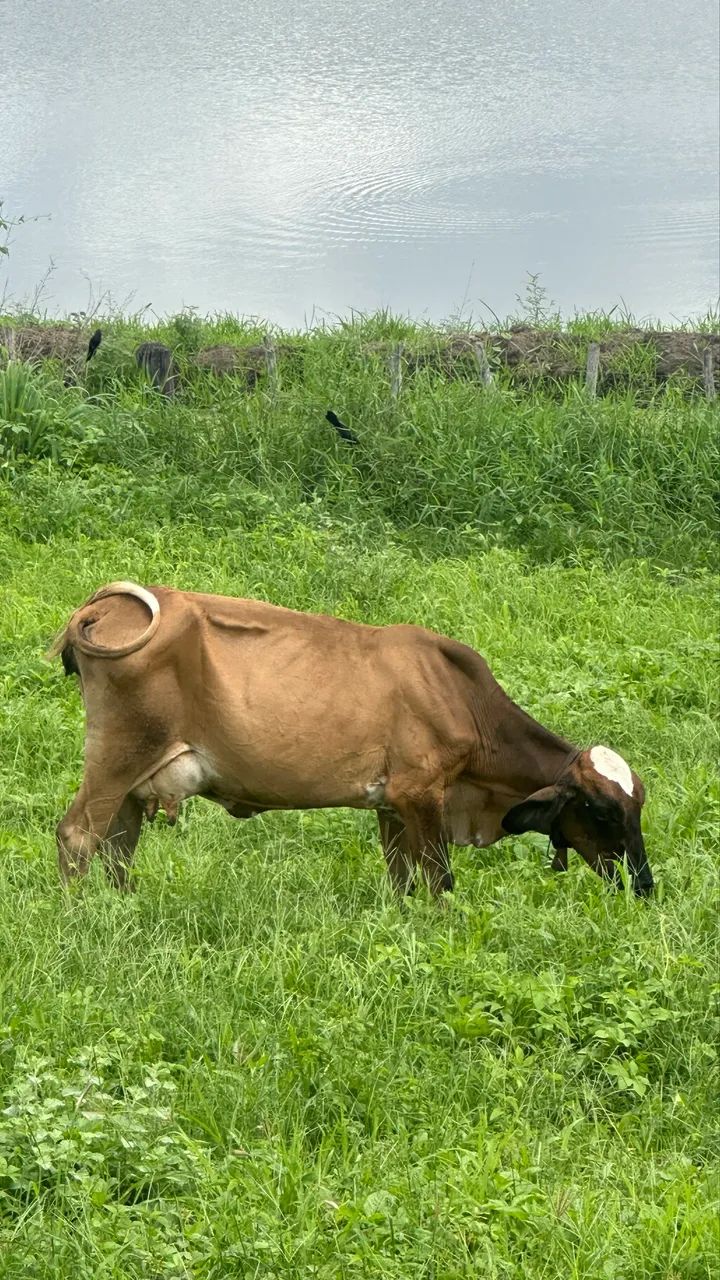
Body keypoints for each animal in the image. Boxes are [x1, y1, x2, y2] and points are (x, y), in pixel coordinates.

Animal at [47, 581, 654, 898]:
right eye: (602, 810)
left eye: (638, 805)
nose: (644, 884)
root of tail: (102, 605)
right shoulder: (421, 792)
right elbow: (440, 882)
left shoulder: (392, 806)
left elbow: (402, 882)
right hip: (120, 753)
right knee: (78, 835)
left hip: (136, 773)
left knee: (118, 846)